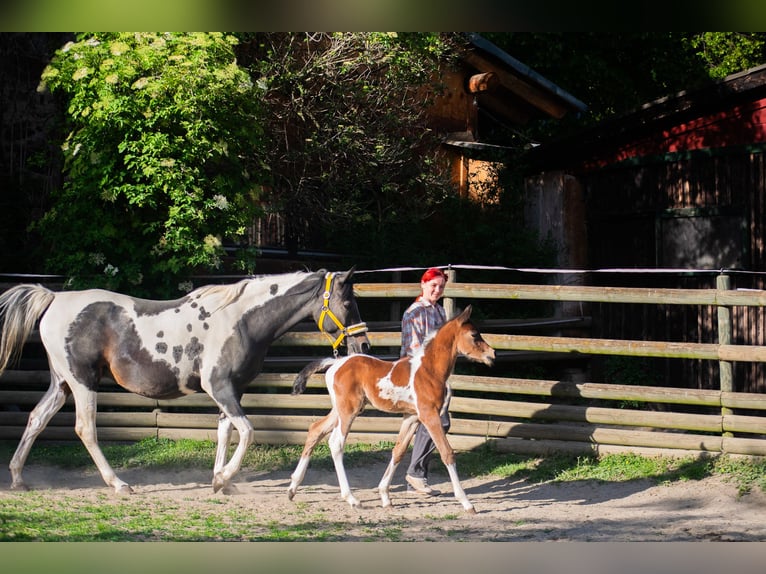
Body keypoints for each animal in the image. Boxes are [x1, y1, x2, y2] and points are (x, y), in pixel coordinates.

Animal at [0, 269, 370, 495]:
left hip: (62, 383)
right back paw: (119, 484)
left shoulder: (231, 391)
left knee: (36, 418)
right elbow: (248, 431)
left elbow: (225, 433)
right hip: (83, 382)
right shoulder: (219, 387)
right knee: (85, 429)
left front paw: (221, 482)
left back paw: (18, 479)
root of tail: (54, 299)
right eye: (347, 302)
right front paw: (225, 478)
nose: (364, 345)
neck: (240, 321)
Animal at [287, 305, 494, 513]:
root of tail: (336, 363)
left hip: (341, 409)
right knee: (336, 442)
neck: (429, 370)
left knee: (316, 429)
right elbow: (447, 452)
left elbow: (398, 451)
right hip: (348, 410)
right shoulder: (429, 415)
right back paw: (351, 499)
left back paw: (293, 488)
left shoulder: (411, 417)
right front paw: (467, 503)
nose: (492, 355)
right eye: (474, 334)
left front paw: (385, 497)